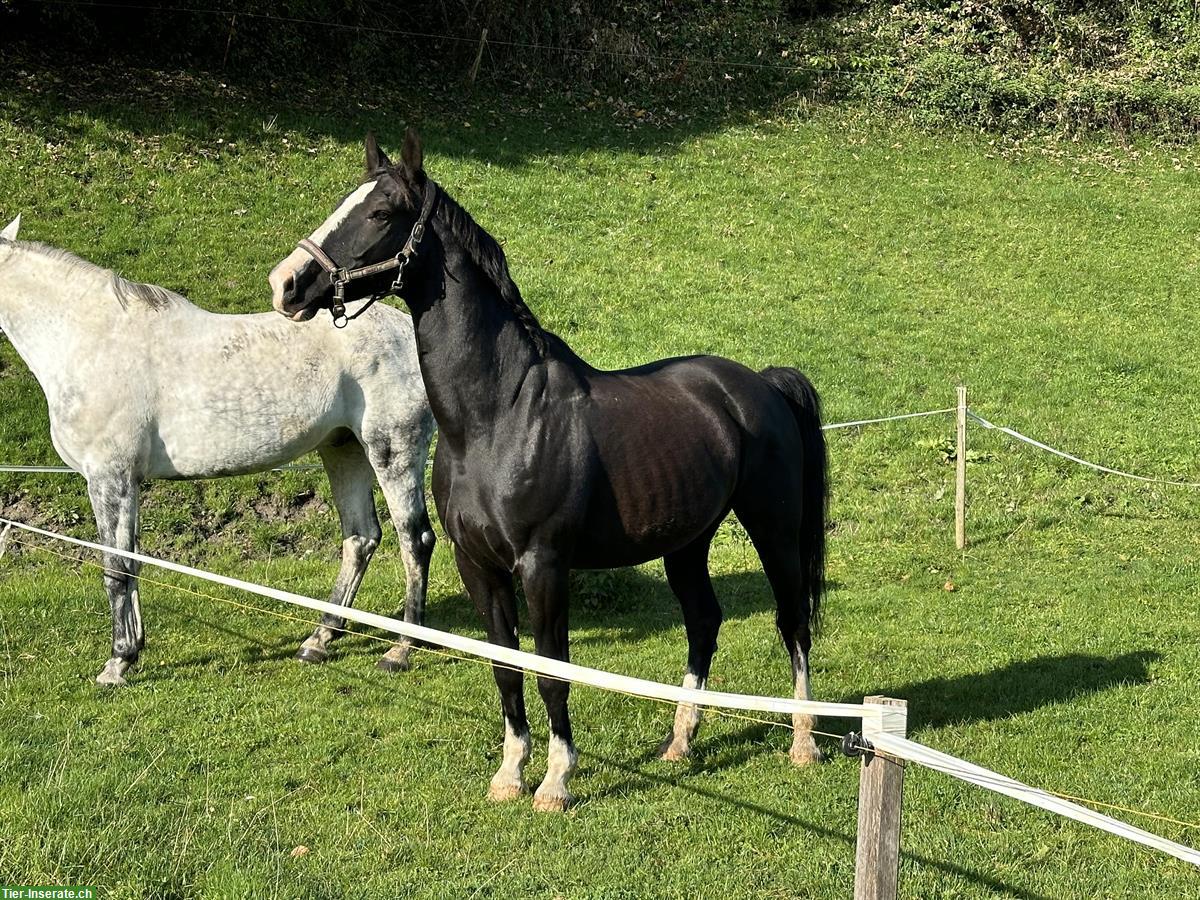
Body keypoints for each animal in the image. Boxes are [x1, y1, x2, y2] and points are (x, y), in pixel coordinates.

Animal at [271, 135, 825, 816]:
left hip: (774, 528)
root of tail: (761, 385)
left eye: (380, 213)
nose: (287, 283)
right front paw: (510, 774)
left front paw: (556, 780)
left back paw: (804, 742)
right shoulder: (478, 566)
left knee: (793, 620)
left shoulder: (543, 566)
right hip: (686, 543)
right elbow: (506, 668)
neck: (498, 417)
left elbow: (551, 669)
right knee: (704, 622)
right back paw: (680, 742)